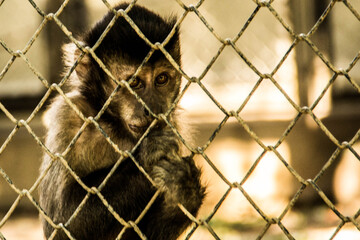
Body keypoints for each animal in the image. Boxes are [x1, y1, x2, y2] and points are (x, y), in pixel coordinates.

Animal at [38, 2, 205, 240]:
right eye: (134, 83)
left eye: (162, 79)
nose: (152, 109)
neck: (113, 123)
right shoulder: (68, 116)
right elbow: (59, 223)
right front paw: (146, 155)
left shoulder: (173, 123)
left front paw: (186, 189)